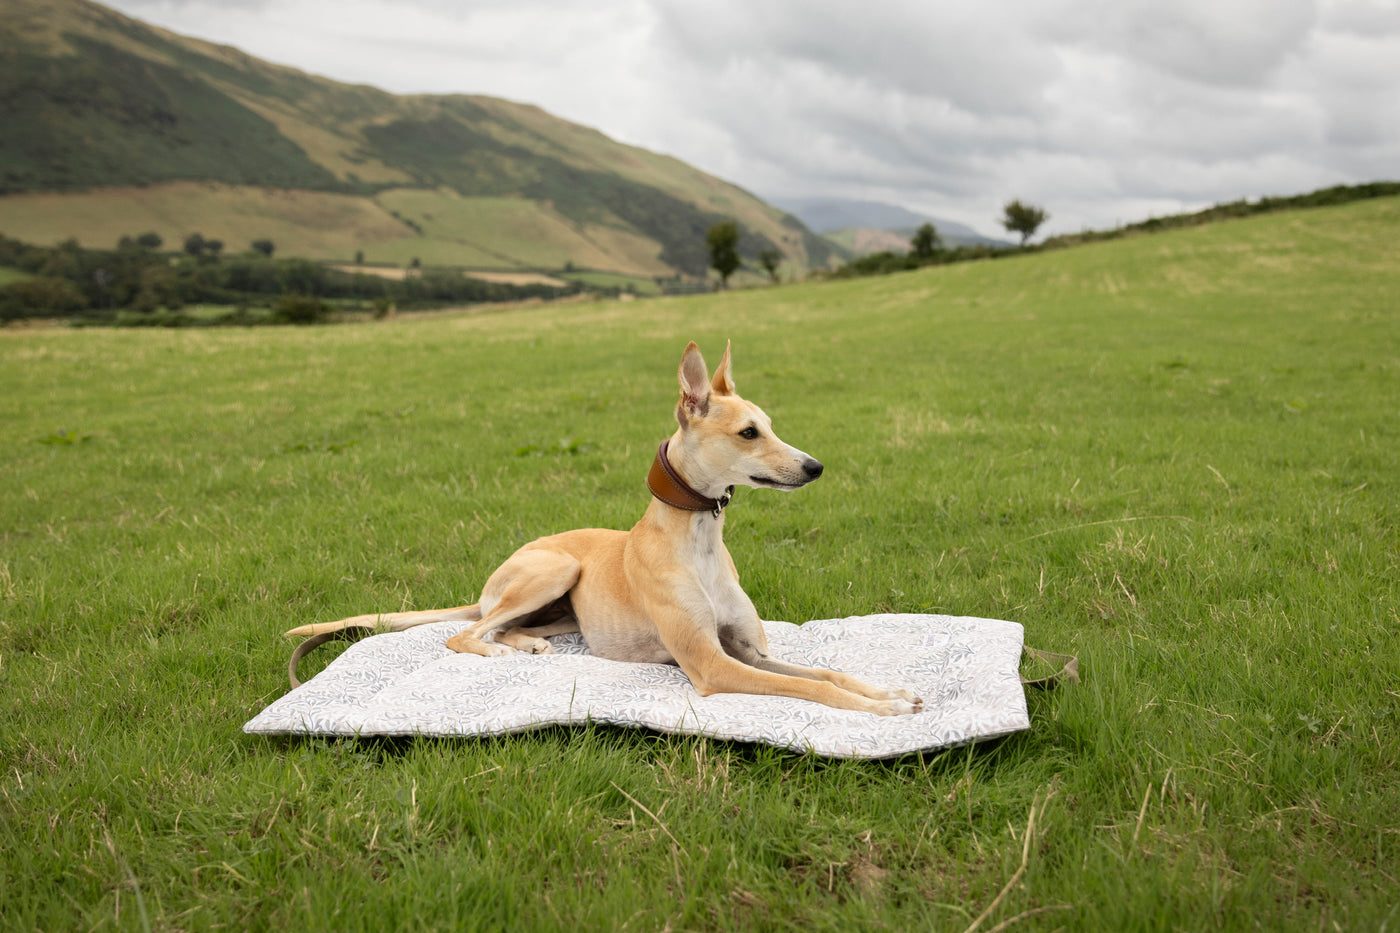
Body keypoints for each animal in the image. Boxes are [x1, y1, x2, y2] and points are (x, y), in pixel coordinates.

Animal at [287, 341, 918, 711]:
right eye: (748, 433)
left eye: (769, 425)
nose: (815, 467)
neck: (698, 541)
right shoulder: (711, 665)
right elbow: (806, 685)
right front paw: (881, 707)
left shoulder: (748, 653)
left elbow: (825, 671)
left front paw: (882, 690)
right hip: (554, 567)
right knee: (466, 634)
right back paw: (500, 650)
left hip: (563, 605)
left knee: (502, 627)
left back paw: (528, 643)